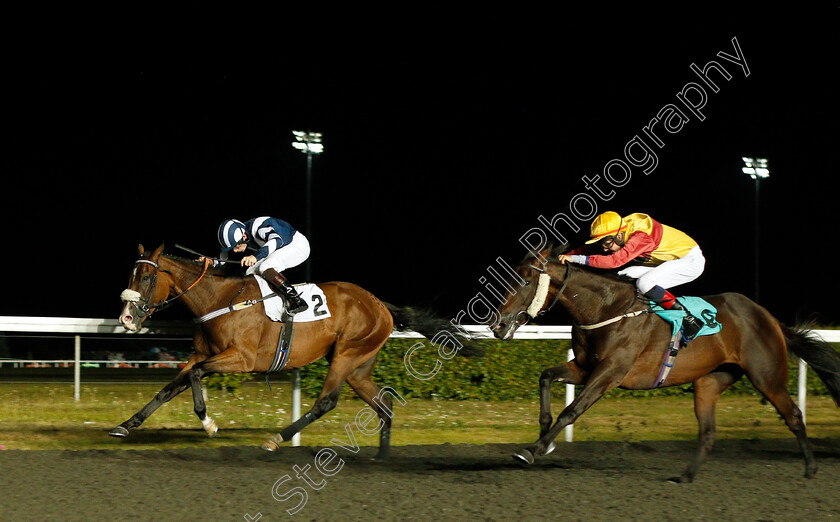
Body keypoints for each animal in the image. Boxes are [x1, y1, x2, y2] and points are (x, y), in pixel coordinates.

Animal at [114, 243, 476, 456]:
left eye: (145, 277)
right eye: (131, 274)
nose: (126, 317)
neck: (220, 300)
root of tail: (379, 304)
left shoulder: (241, 359)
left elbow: (196, 378)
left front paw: (209, 423)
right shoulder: (201, 354)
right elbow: (169, 388)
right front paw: (126, 425)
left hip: (346, 354)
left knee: (326, 402)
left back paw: (276, 439)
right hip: (359, 366)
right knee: (383, 405)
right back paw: (381, 456)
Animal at [492, 243, 840, 480]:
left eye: (525, 281)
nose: (499, 325)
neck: (607, 308)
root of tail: (767, 316)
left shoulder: (610, 373)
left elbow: (572, 411)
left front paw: (532, 450)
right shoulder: (584, 367)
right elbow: (546, 376)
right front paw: (543, 436)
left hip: (767, 376)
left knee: (794, 415)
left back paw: (810, 469)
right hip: (710, 381)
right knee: (708, 432)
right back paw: (686, 475)